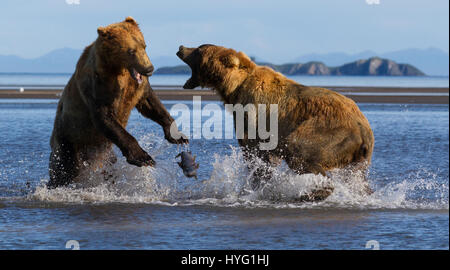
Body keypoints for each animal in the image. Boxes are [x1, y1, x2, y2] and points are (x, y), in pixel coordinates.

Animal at [48, 16, 188, 188]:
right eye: (131, 51)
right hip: (68, 139)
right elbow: (105, 117)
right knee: (64, 170)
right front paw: (144, 157)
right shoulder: (98, 86)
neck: (119, 69)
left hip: (103, 153)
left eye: (144, 45)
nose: (149, 69)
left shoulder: (136, 87)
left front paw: (178, 136)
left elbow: (151, 103)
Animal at [178, 44, 374, 200]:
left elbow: (256, 155)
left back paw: (313, 192)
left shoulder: (254, 114)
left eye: (198, 49)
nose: (181, 47)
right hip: (357, 156)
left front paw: (253, 188)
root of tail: (364, 129)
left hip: (330, 131)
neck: (234, 89)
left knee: (298, 150)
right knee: (358, 178)